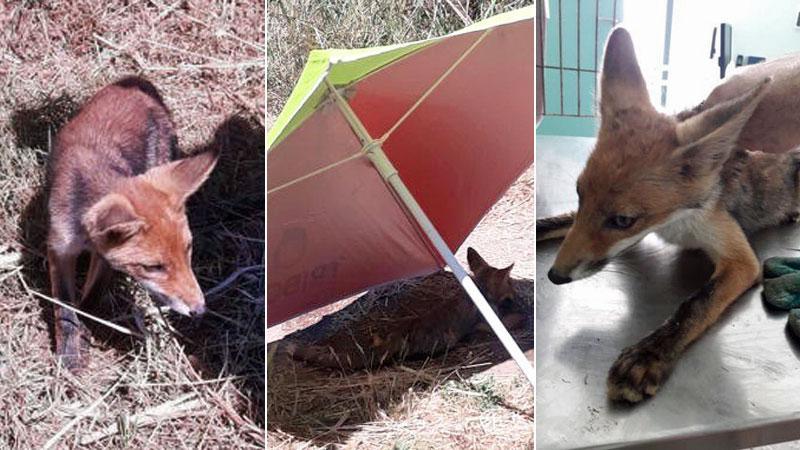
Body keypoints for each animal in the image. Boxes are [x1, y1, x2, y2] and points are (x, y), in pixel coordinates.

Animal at [47, 77, 218, 370]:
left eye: (188, 250)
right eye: (153, 267)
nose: (200, 310)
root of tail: (137, 81)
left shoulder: (105, 258)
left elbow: (89, 301)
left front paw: (87, 332)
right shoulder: (59, 248)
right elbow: (65, 310)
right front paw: (69, 357)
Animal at [537, 27, 800, 403]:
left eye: (622, 220)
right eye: (579, 194)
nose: (555, 276)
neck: (674, 226)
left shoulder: (740, 259)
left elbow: (694, 305)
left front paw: (648, 355)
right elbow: (550, 224)